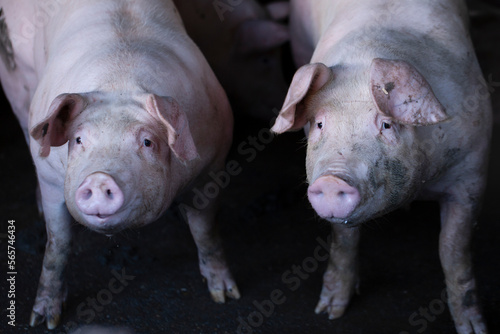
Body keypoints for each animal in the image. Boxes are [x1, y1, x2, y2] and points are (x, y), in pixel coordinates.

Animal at [0, 0, 240, 328]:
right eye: (78, 140)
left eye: (148, 142)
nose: (100, 178)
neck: (120, 77)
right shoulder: (51, 179)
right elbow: (57, 244)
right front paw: (43, 321)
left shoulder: (212, 166)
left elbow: (206, 230)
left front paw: (226, 296)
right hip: (14, 79)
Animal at [276, 0, 494, 334]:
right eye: (320, 124)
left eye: (387, 125)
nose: (331, 181)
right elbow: (344, 241)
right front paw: (328, 312)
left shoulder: (472, 173)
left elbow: (453, 248)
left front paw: (473, 328)